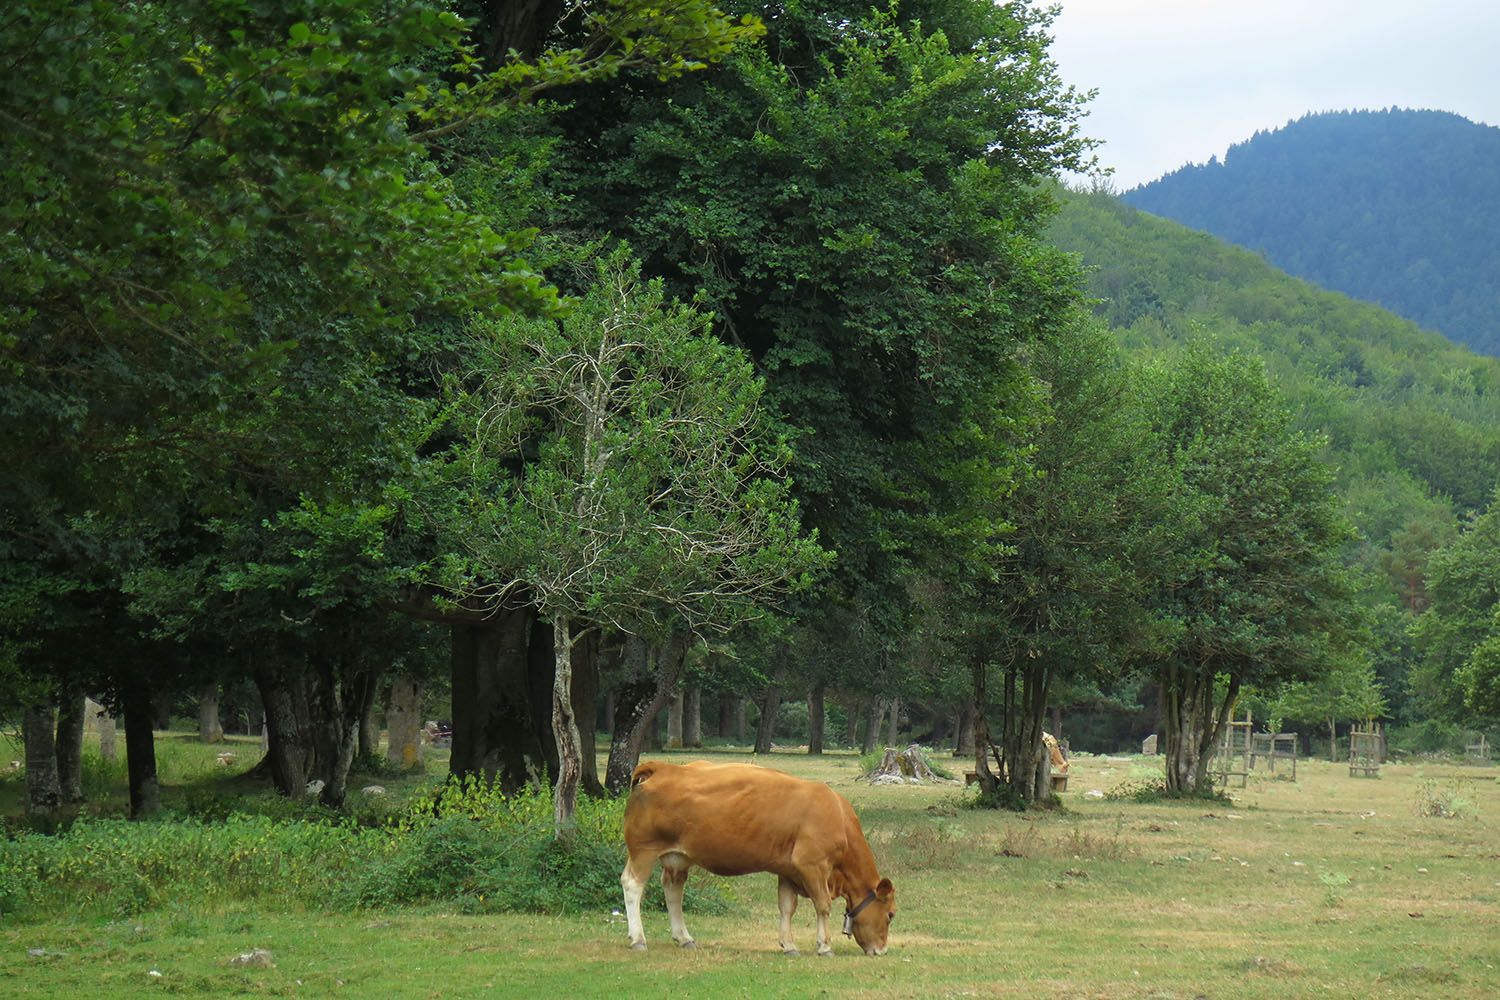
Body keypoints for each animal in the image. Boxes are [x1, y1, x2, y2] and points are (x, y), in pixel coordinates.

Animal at [618, 761, 894, 959]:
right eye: (891, 914)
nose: (881, 950)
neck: (836, 814)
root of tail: (664, 768)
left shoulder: (788, 871)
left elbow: (787, 907)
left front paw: (789, 944)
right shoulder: (812, 865)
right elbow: (823, 905)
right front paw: (824, 946)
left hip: (677, 857)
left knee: (673, 890)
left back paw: (684, 937)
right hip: (644, 849)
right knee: (632, 885)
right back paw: (638, 939)